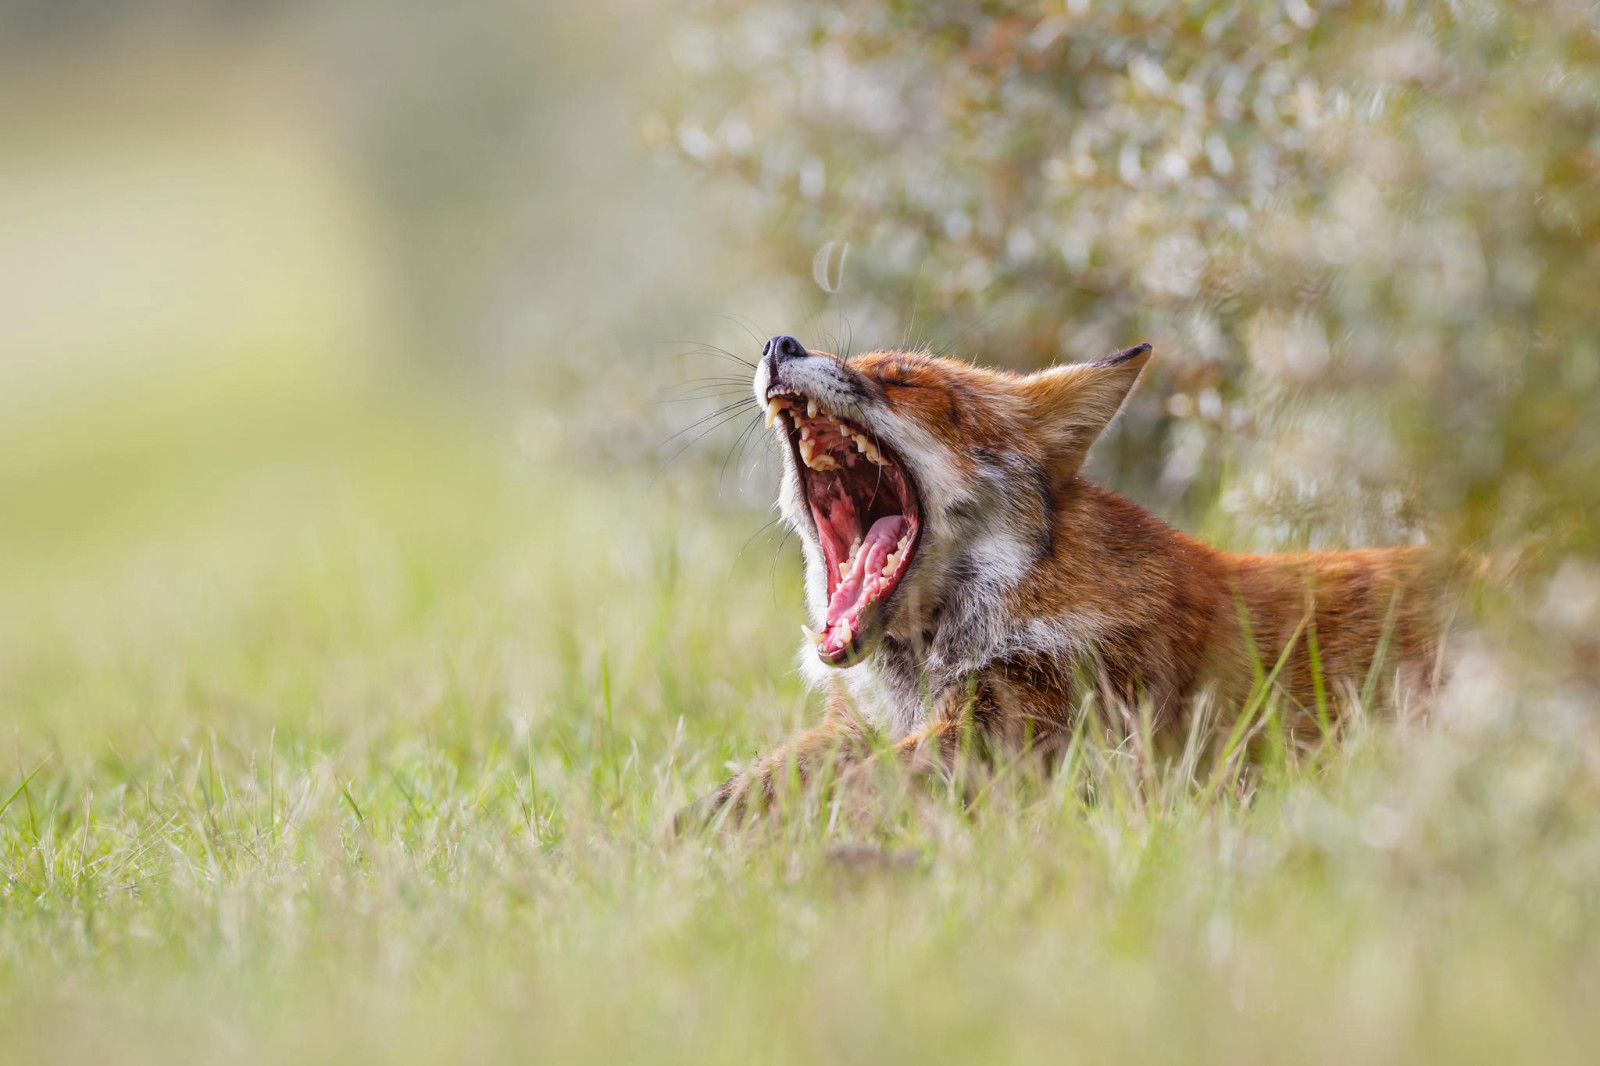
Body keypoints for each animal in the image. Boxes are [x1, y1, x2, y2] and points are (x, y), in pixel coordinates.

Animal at [694, 332, 1459, 813]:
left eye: (904, 379)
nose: (781, 345)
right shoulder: (865, 726)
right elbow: (753, 784)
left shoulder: (1034, 731)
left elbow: (837, 790)